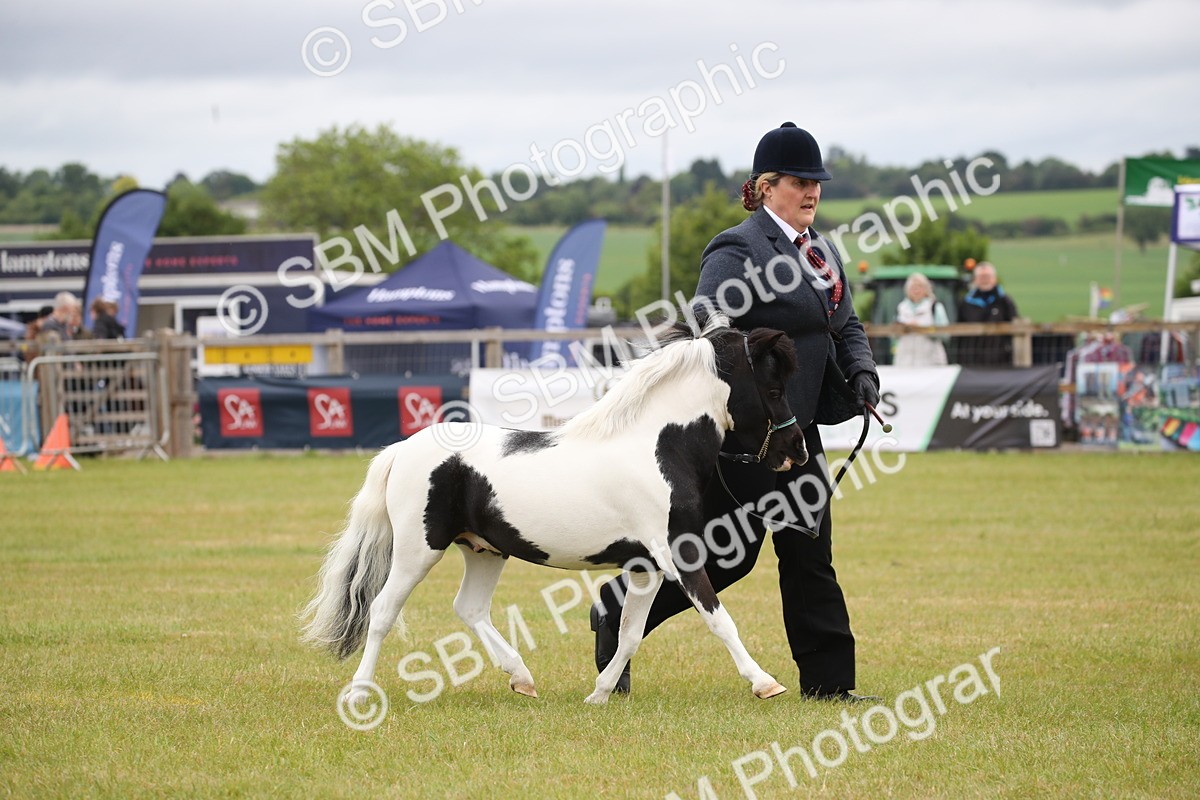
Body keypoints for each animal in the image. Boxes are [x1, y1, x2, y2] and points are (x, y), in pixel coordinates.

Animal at [301, 311, 808, 704]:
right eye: (774, 388)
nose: (796, 451)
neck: (658, 447)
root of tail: (401, 449)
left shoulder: (645, 565)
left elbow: (631, 632)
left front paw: (599, 694)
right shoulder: (678, 555)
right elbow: (718, 619)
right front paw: (765, 683)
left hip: (484, 550)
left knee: (469, 608)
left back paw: (521, 679)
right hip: (417, 551)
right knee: (382, 611)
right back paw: (359, 694)